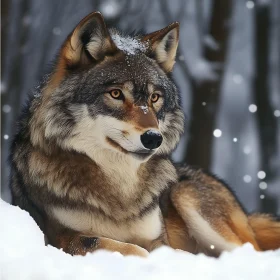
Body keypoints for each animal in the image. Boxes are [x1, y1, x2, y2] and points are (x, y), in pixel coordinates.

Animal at [10, 12, 280, 258]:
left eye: (154, 98)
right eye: (116, 94)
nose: (153, 138)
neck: (122, 191)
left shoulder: (159, 238)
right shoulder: (62, 237)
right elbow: (116, 245)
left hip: (186, 196)